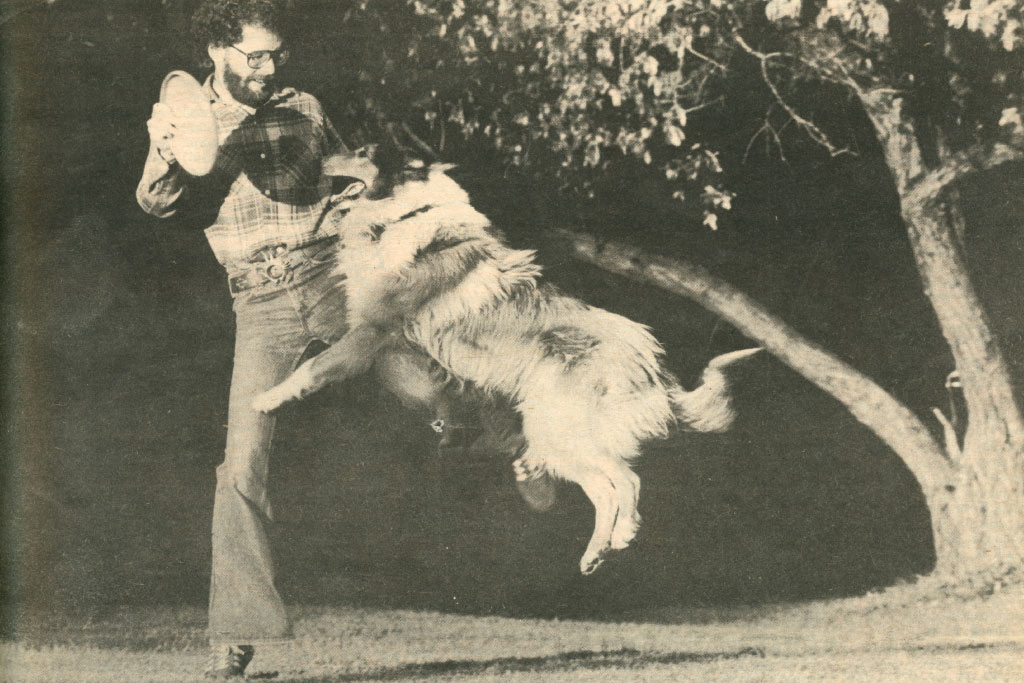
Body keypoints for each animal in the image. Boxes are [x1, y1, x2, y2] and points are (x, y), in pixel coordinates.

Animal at [251, 148, 757, 573]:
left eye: (361, 150)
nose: (316, 158)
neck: (411, 214)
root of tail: (651, 358)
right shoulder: (394, 344)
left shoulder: (371, 331)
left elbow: (312, 367)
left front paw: (266, 399)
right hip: (555, 435)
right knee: (605, 487)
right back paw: (594, 552)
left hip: (560, 428)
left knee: (626, 480)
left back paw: (619, 537)